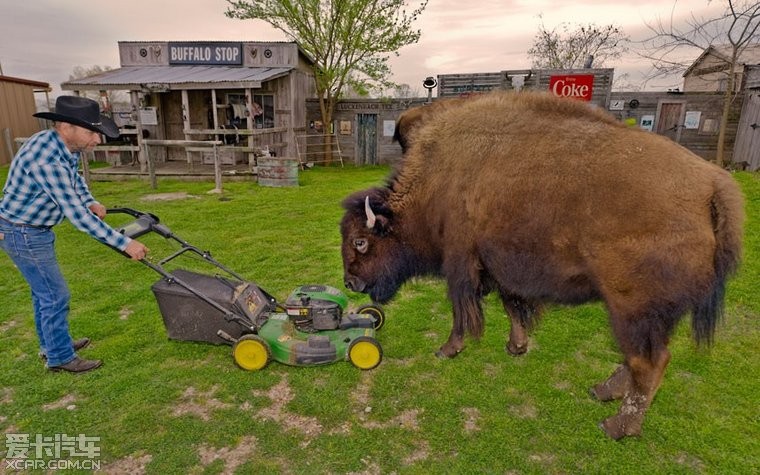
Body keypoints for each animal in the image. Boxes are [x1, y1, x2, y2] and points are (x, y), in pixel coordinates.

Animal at [342, 91, 744, 440]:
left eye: (361, 241)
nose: (350, 283)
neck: (436, 181)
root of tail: (712, 184)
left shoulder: (461, 265)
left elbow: (463, 312)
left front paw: (448, 349)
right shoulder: (499, 268)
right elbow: (512, 306)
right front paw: (516, 347)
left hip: (630, 307)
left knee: (648, 362)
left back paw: (617, 426)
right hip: (654, 314)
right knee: (642, 358)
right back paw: (603, 392)